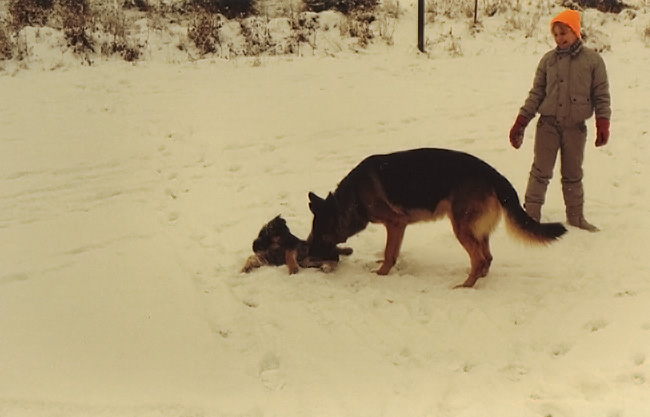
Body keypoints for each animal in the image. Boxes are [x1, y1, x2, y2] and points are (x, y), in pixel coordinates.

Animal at [306, 148, 564, 288]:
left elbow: (389, 253)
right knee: (487, 258)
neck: (352, 198)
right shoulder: (399, 227)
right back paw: (477, 278)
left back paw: (465, 287)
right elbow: (393, 252)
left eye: (319, 235)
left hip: (461, 227)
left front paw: (381, 274)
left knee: (480, 259)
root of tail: (495, 175)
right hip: (476, 229)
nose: (307, 255)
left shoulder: (395, 223)